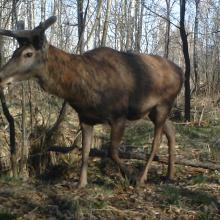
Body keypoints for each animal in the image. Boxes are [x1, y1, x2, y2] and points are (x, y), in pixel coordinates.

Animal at [0, 16, 183, 186]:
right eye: (14, 52)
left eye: (28, 54)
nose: (1, 76)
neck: (82, 93)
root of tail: (181, 70)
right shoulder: (86, 118)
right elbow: (85, 151)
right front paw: (81, 184)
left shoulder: (119, 115)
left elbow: (111, 151)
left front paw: (130, 176)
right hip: (151, 110)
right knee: (172, 130)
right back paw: (170, 174)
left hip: (164, 103)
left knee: (156, 141)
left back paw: (142, 177)